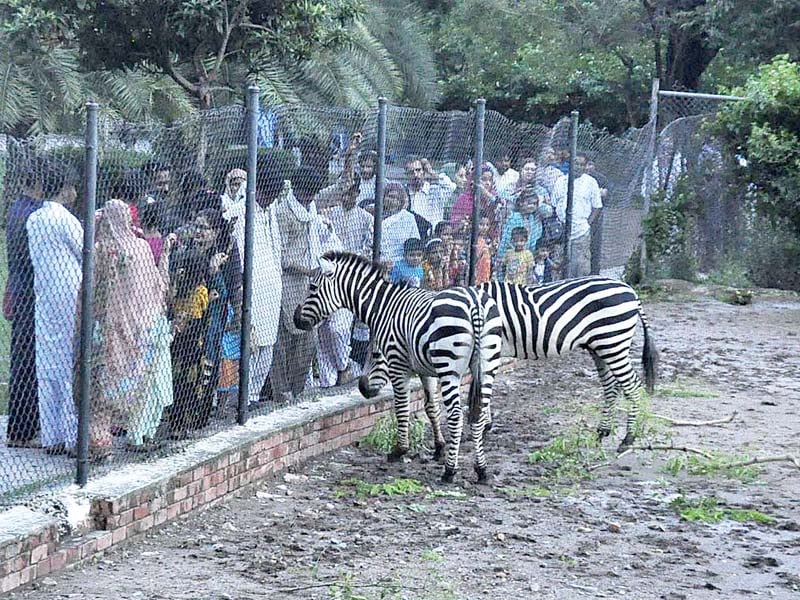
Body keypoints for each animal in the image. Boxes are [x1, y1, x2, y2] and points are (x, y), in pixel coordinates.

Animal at [296, 252, 500, 482]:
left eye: (312, 287)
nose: (296, 320)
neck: (383, 306)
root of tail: (475, 303)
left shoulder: (398, 365)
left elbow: (401, 407)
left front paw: (399, 450)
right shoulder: (426, 370)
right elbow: (431, 407)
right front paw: (439, 447)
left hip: (450, 369)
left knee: (456, 415)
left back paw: (450, 471)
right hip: (487, 365)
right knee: (479, 412)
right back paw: (481, 469)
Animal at [478, 276, 660, 450]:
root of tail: (631, 291)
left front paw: (483, 427)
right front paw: (486, 425)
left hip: (613, 344)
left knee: (633, 387)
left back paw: (628, 439)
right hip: (601, 348)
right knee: (611, 387)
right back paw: (602, 432)